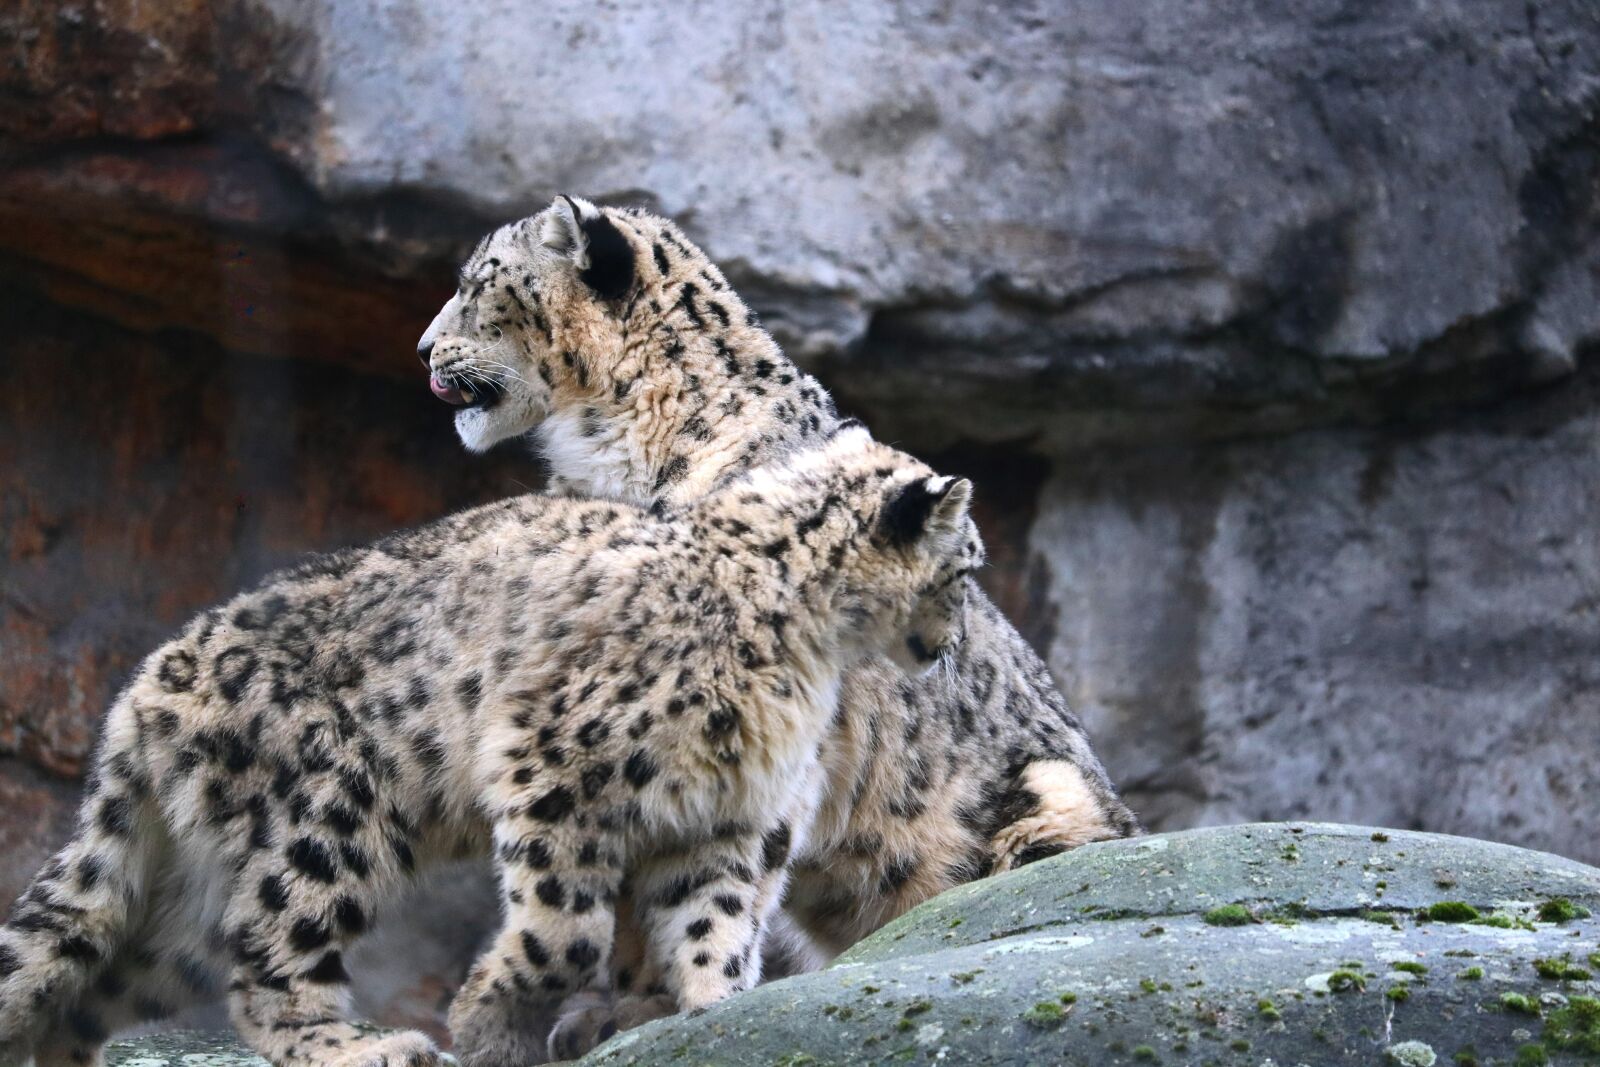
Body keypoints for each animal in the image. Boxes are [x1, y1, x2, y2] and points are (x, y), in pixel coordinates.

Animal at [0, 426, 981, 1067]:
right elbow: (566, 929)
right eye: (966, 566)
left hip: (191, 899)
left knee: (104, 979)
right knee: (270, 954)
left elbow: (718, 920)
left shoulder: (733, 812)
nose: (952, 644)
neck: (810, 648)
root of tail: (146, 686)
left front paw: (710, 1009)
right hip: (321, 821)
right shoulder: (558, 762)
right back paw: (361, 1046)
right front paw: (486, 1021)